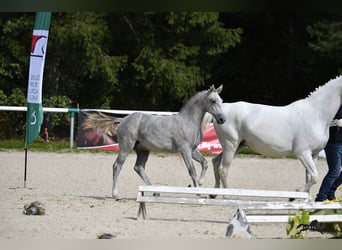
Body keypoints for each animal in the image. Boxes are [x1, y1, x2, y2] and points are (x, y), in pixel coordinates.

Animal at [211, 75, 342, 200]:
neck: (315, 114)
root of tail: (220, 114)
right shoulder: (302, 153)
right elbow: (315, 177)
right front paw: (293, 196)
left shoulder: (314, 154)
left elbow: (309, 177)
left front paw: (307, 200)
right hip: (230, 146)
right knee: (223, 169)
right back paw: (226, 196)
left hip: (238, 146)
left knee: (216, 162)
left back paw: (213, 194)